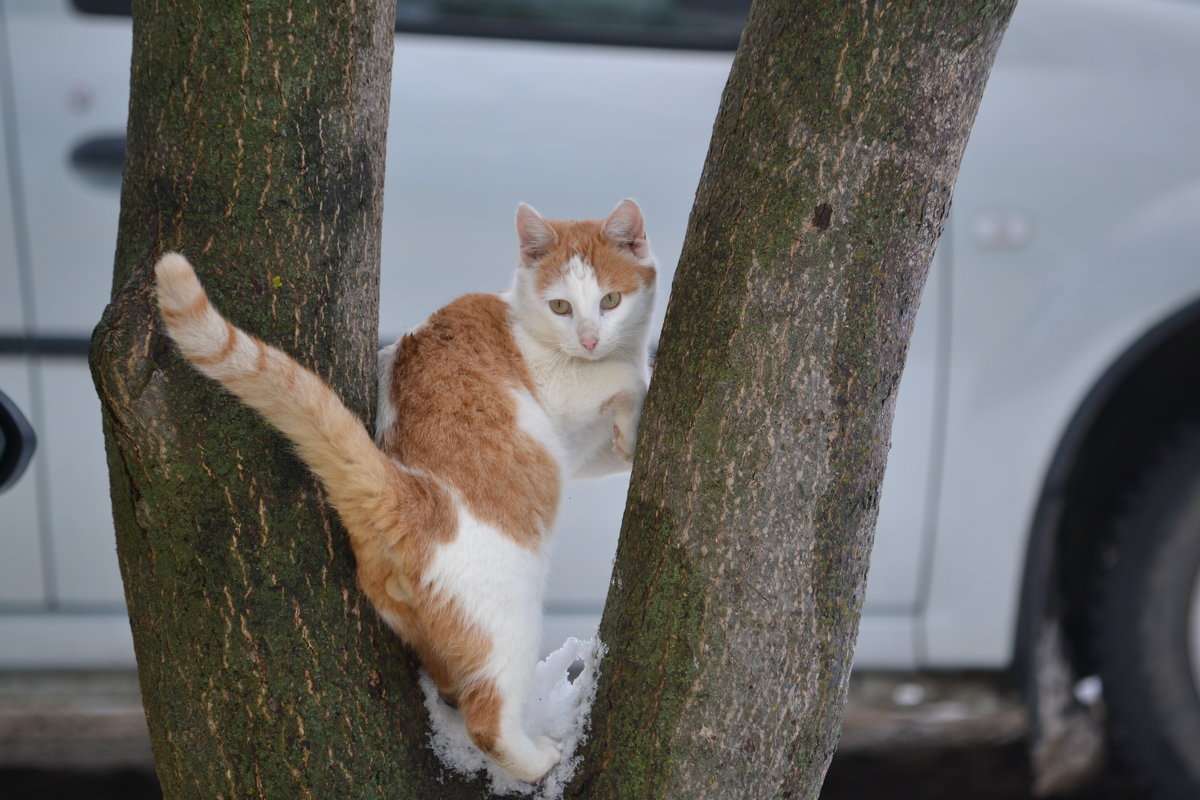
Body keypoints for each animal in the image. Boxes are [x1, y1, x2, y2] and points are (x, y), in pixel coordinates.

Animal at [153, 196, 657, 786]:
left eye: (609, 300)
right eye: (560, 307)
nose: (589, 338)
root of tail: (405, 492)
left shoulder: (581, 455)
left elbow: (615, 440)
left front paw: (629, 437)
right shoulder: (563, 386)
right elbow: (622, 378)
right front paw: (629, 396)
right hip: (507, 616)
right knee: (487, 718)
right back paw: (535, 761)